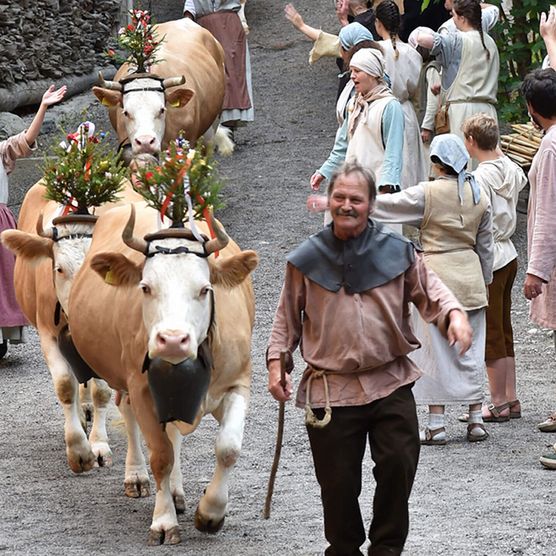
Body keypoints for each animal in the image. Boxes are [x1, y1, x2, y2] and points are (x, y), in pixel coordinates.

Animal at [0, 180, 143, 476]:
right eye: (59, 268)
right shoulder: (47, 332)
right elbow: (66, 385)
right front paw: (78, 450)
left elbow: (102, 390)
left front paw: (98, 445)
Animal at [66, 203, 258, 544]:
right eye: (145, 287)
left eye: (205, 289)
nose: (171, 339)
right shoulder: (143, 389)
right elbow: (161, 456)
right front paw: (164, 521)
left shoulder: (238, 384)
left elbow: (228, 448)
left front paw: (211, 513)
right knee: (129, 415)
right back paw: (137, 477)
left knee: (173, 433)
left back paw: (178, 493)